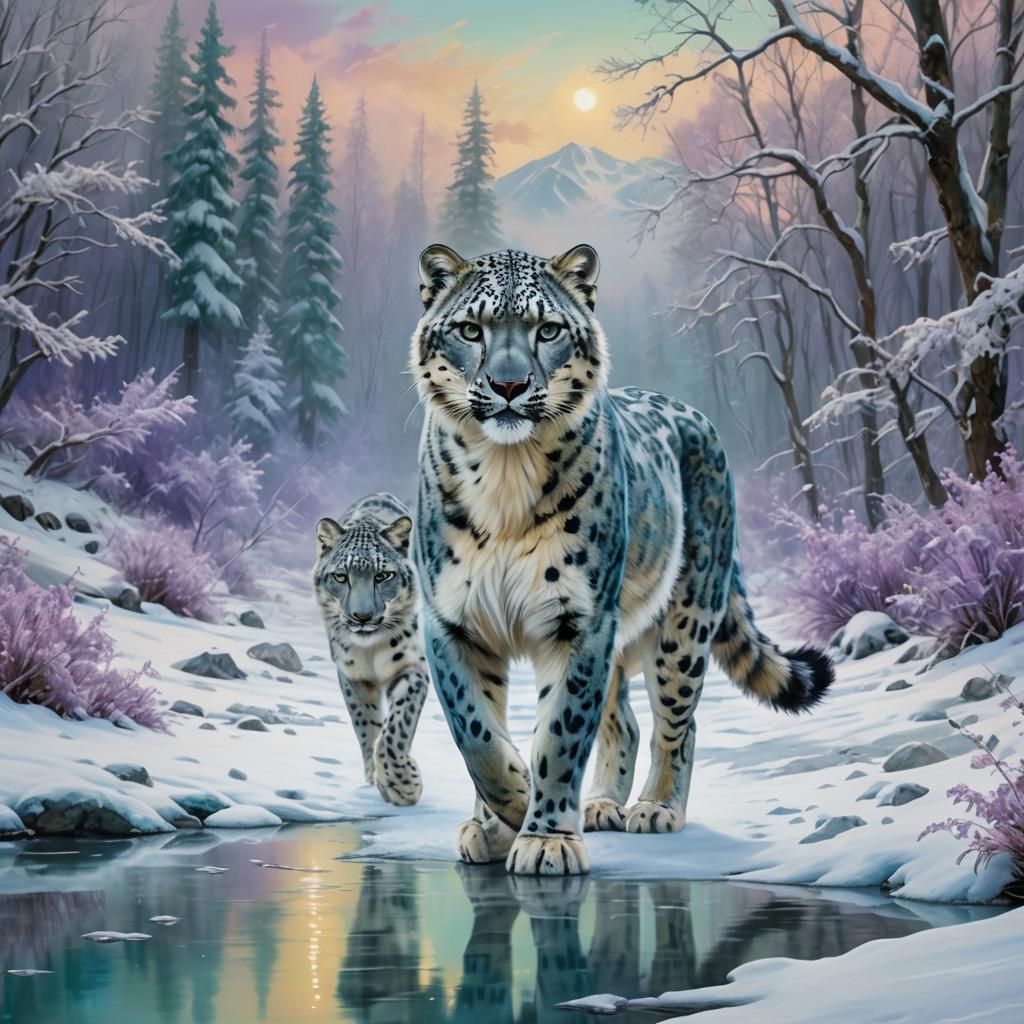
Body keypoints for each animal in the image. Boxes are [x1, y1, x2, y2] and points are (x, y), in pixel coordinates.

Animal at [314, 492, 428, 807]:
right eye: (341, 576)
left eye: (383, 575)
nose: (362, 616)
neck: (370, 649)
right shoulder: (353, 675)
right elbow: (366, 726)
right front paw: (377, 778)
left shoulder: (411, 666)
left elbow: (396, 727)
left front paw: (403, 784)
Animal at [411, 243, 834, 875]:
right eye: (470, 329)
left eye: (547, 330)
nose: (509, 385)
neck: (505, 478)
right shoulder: (453, 620)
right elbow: (476, 730)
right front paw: (499, 818)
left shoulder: (579, 620)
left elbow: (561, 730)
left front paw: (545, 836)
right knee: (623, 719)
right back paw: (601, 804)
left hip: (684, 620)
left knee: (676, 719)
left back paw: (656, 808)